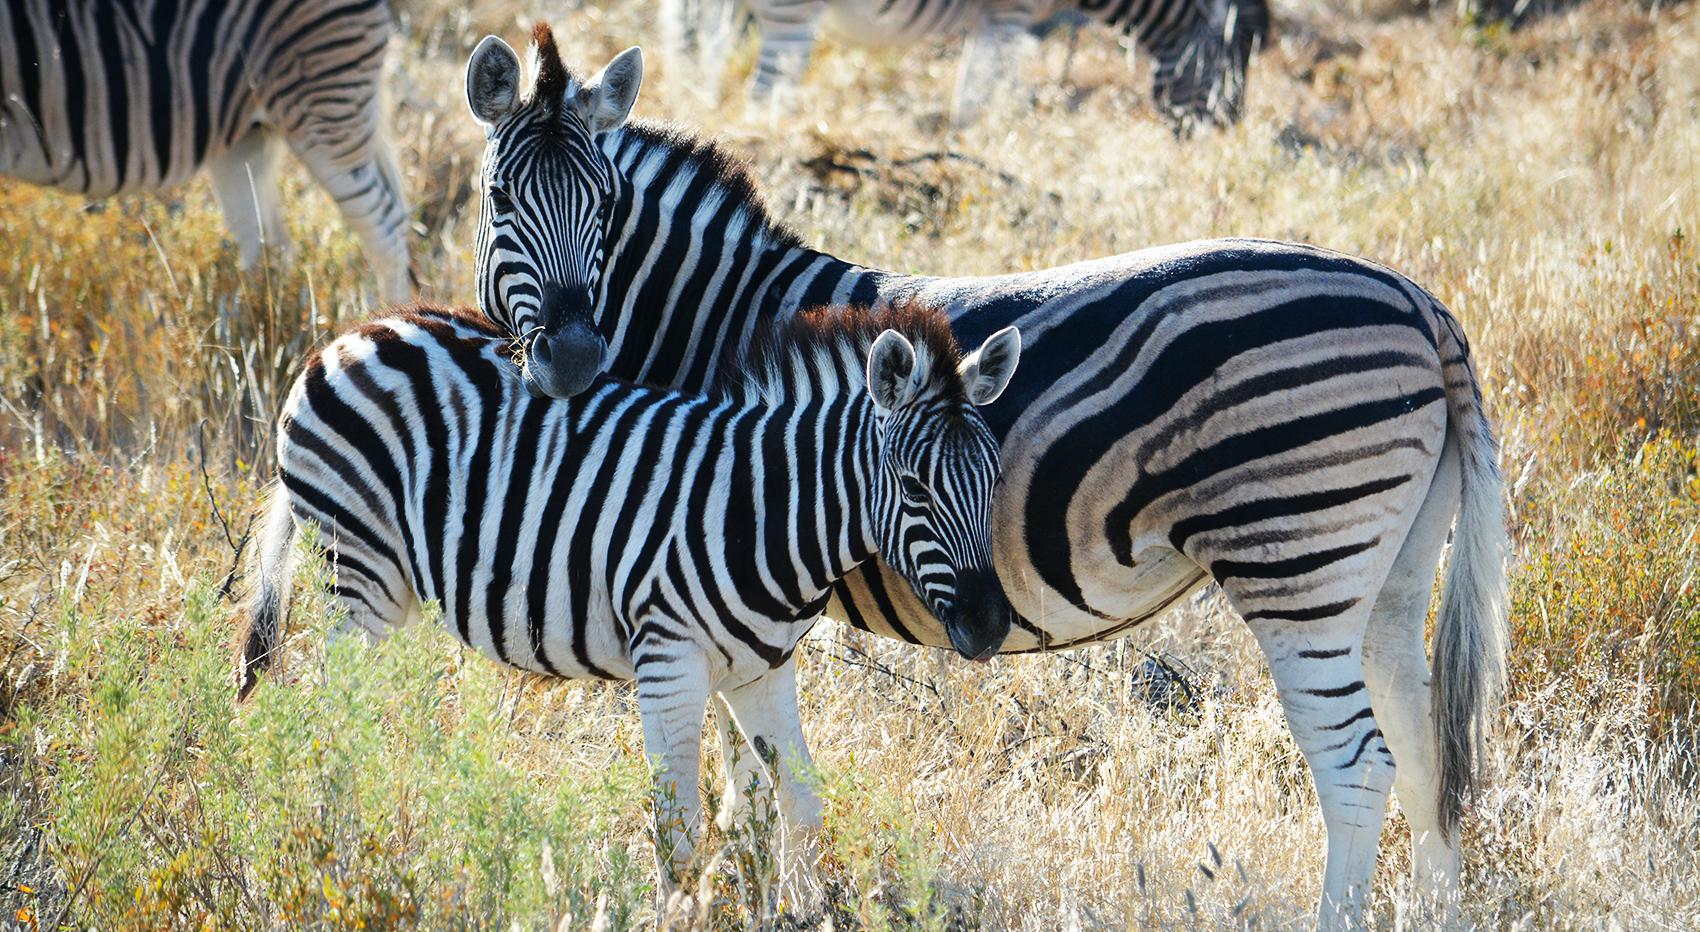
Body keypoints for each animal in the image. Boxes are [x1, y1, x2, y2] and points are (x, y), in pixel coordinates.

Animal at [235, 299, 1023, 883]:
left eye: (994, 479)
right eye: (914, 487)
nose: (989, 628)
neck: (766, 511)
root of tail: (350, 335)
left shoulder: (763, 670)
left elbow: (800, 804)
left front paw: (800, 910)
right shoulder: (668, 664)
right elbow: (679, 833)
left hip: (390, 587)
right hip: (356, 572)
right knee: (332, 718)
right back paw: (340, 841)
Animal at [463, 26, 1508, 926]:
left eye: (603, 208)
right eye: (503, 200)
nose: (570, 360)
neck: (714, 321)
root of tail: (1417, 301)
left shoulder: (699, 563)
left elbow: (736, 777)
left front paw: (746, 897)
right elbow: (745, 780)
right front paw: (756, 894)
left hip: (1294, 556)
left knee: (1358, 769)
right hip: (1388, 572)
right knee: (1425, 756)